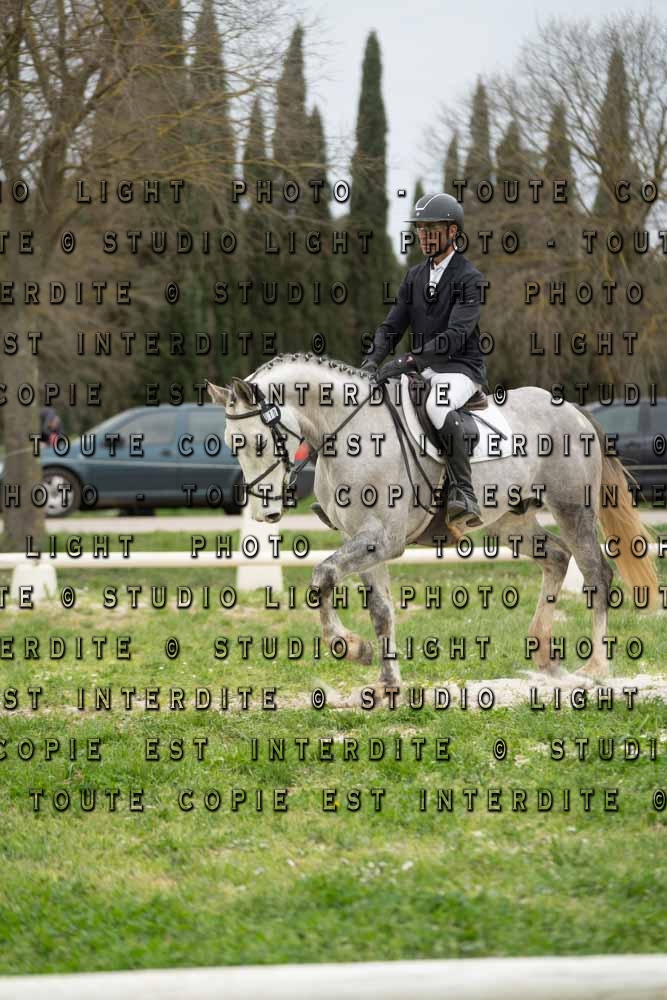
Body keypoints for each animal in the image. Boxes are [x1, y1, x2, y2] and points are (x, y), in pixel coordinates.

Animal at [207, 352, 657, 687]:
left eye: (259, 441)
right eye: (232, 443)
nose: (265, 512)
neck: (351, 432)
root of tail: (572, 410)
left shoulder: (382, 538)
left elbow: (323, 576)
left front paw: (351, 648)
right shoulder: (364, 540)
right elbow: (380, 609)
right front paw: (388, 685)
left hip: (571, 507)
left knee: (596, 571)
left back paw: (596, 667)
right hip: (510, 521)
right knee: (559, 559)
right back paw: (544, 655)